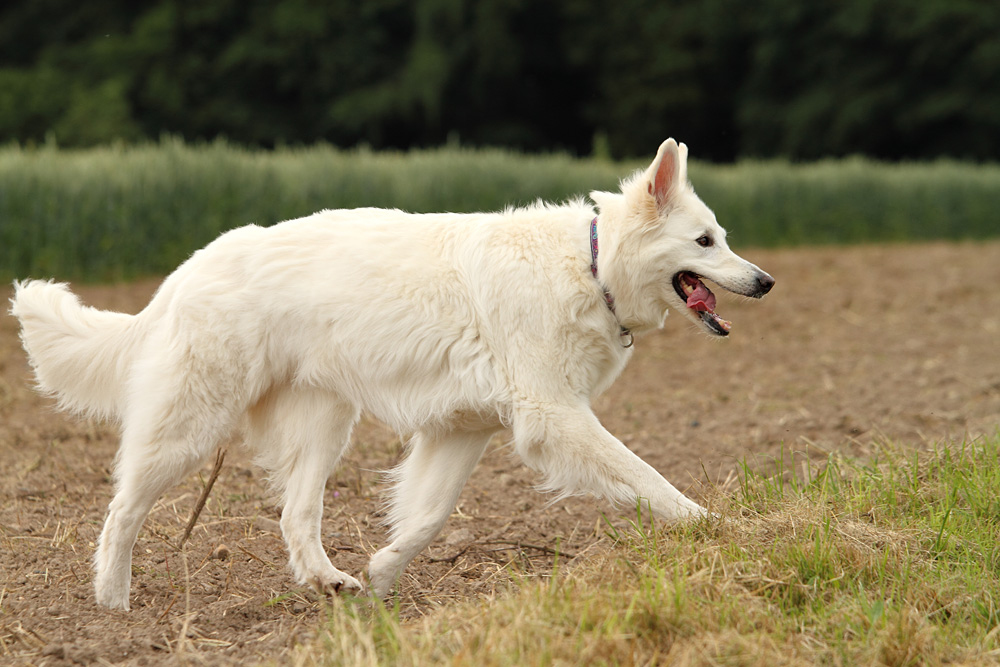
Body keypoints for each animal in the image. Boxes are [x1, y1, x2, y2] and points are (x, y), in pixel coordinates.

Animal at [11, 139, 773, 610]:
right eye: (705, 241)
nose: (765, 282)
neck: (590, 265)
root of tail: (188, 269)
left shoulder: (463, 433)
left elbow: (427, 518)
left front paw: (380, 578)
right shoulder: (555, 418)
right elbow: (649, 478)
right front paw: (717, 528)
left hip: (324, 428)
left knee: (295, 515)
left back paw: (331, 582)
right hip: (191, 427)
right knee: (121, 510)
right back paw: (113, 606)